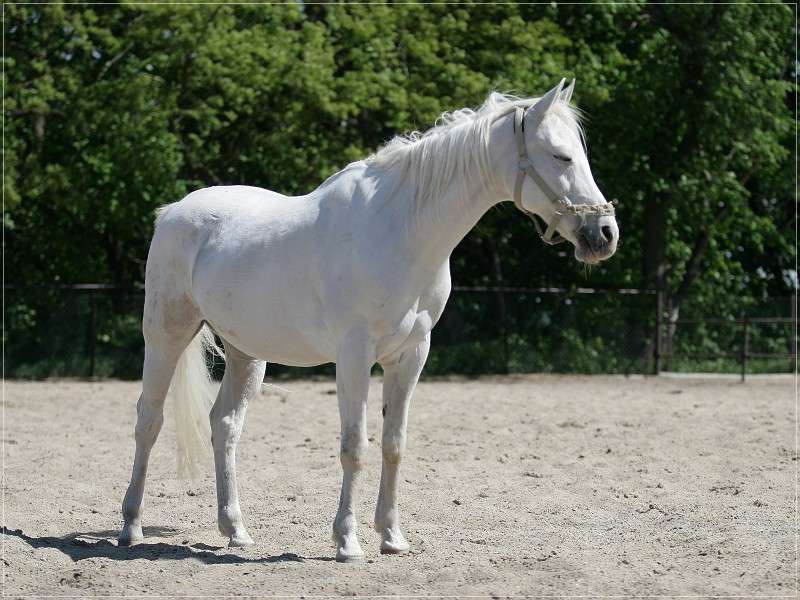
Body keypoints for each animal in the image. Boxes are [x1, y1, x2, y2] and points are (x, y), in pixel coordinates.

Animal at [119, 78, 620, 564]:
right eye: (560, 156)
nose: (604, 235)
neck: (402, 231)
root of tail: (174, 212)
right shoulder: (355, 355)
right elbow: (354, 446)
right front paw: (347, 541)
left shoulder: (411, 355)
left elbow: (393, 445)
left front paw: (392, 537)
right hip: (165, 337)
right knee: (149, 421)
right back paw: (130, 527)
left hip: (247, 354)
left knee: (224, 426)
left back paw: (235, 530)